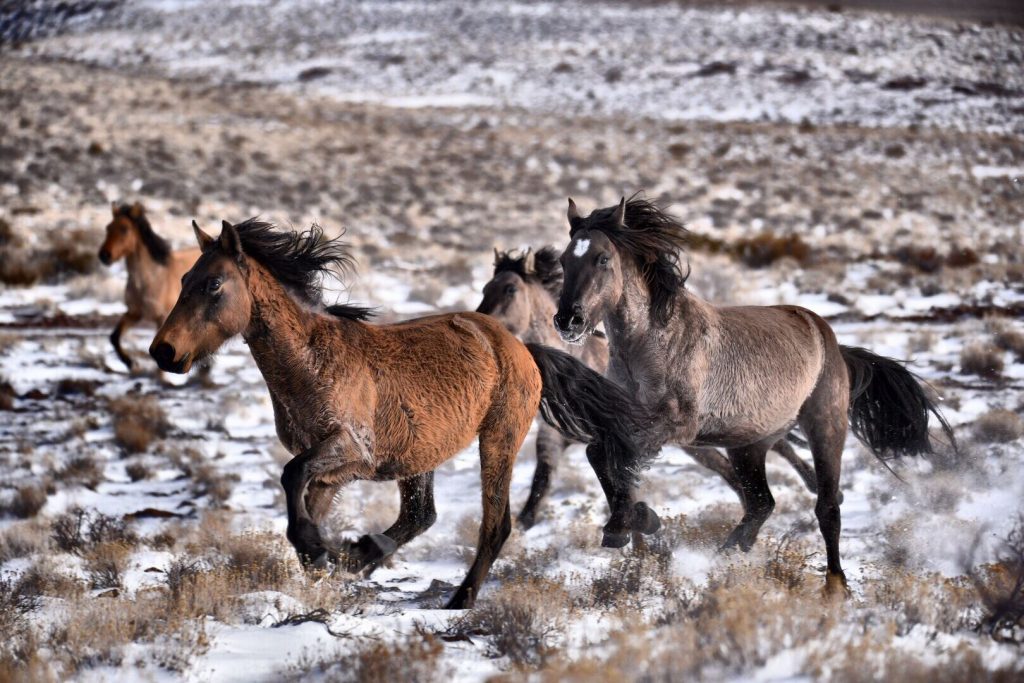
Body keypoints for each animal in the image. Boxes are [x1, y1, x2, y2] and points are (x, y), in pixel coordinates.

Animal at [99, 202, 201, 370]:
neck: (151, 279)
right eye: (108, 228)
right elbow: (114, 337)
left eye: (124, 229)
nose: (104, 255)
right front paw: (131, 363)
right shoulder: (134, 313)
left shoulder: (162, 319)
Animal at [149, 218, 647, 610]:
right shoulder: (333, 470)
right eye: (184, 280)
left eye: (214, 285)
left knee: (495, 525)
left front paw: (317, 551)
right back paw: (365, 553)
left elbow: (292, 476)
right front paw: (325, 558)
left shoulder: (352, 452)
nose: (163, 351)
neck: (311, 362)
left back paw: (459, 599)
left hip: (497, 441)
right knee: (421, 515)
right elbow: (304, 497)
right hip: (422, 455)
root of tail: (521, 347)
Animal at [475, 248, 819, 532]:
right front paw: (525, 522)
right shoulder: (553, 439)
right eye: (484, 288)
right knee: (735, 469)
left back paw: (814, 484)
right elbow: (542, 480)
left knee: (772, 446)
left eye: (509, 289)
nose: (482, 323)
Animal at [557, 196, 954, 593]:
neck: (651, 343)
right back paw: (730, 552)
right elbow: (601, 454)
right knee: (762, 502)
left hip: (824, 428)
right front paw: (632, 522)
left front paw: (627, 522)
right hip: (748, 445)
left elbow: (610, 455)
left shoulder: (673, 424)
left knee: (826, 507)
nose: (567, 321)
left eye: (602, 258)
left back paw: (834, 586)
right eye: (563, 260)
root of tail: (830, 339)